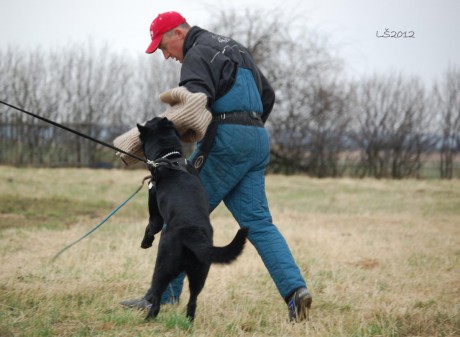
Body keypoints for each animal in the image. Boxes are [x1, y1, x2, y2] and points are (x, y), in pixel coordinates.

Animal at [137, 117, 248, 320]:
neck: (170, 158)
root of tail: (192, 234)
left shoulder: (155, 212)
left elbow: (150, 227)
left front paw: (145, 243)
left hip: (162, 267)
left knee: (156, 298)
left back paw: (148, 319)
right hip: (200, 273)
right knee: (192, 301)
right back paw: (188, 322)